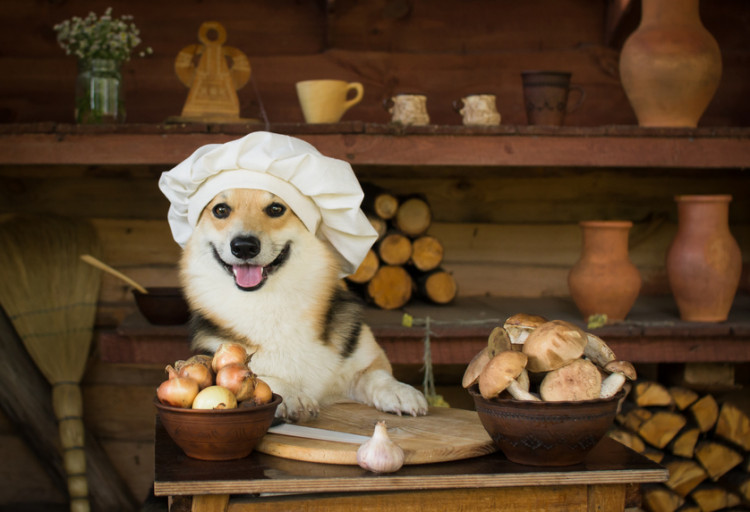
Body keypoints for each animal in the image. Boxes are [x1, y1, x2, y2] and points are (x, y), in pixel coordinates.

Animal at [179, 188, 432, 420]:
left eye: (276, 209)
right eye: (221, 210)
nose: (243, 247)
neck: (271, 304)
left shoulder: (364, 359)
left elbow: (377, 375)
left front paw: (399, 390)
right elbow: (263, 378)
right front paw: (292, 396)